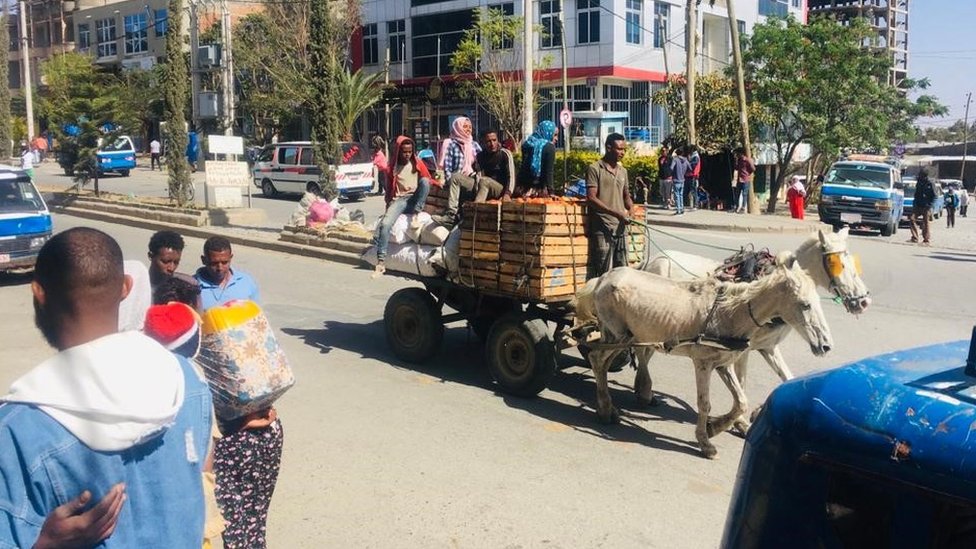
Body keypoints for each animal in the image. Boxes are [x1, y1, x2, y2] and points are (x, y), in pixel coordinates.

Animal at [576, 262, 836, 458]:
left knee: (604, 362)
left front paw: (714, 428)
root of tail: (604, 276)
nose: (825, 345)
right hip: (618, 334)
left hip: (623, 336)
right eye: (805, 304)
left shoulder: (723, 363)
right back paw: (606, 409)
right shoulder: (702, 363)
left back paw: (613, 405)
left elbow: (741, 401)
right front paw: (705, 442)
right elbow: (704, 403)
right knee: (597, 358)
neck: (731, 312)